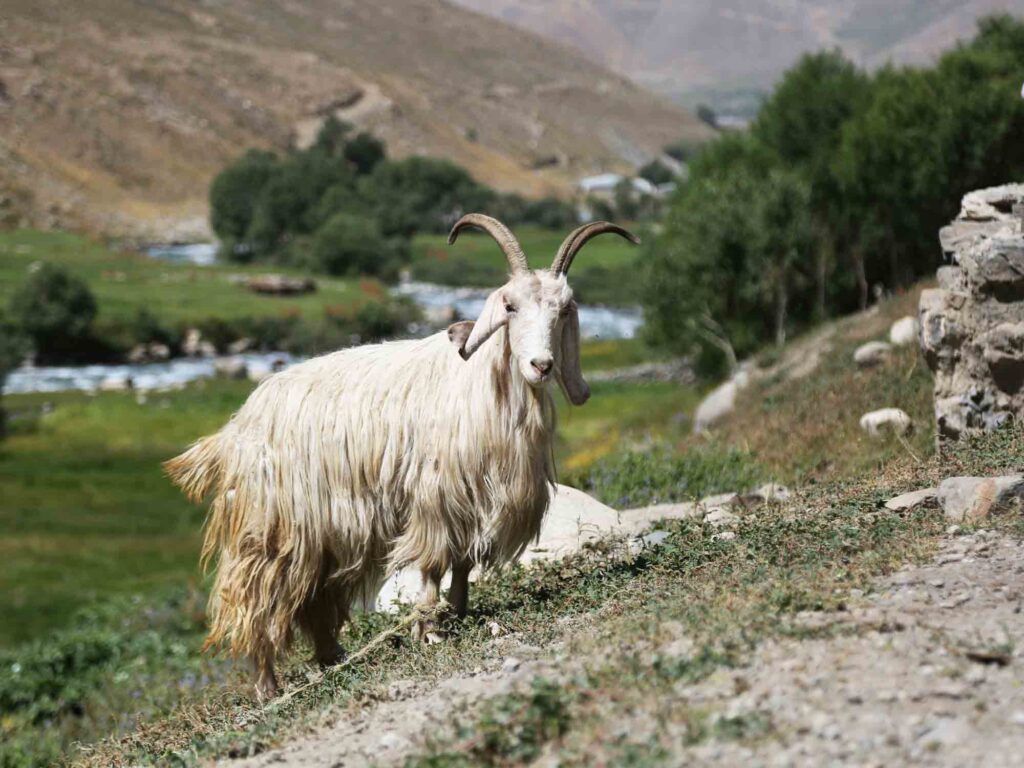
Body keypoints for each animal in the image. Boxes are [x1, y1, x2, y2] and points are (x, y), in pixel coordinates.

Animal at [165, 215, 639, 698]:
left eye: (564, 310)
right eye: (509, 306)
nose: (541, 366)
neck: (479, 385)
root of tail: (236, 427)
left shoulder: (475, 498)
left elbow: (463, 564)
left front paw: (458, 614)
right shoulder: (434, 496)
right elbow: (432, 563)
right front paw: (428, 629)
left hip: (321, 534)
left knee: (315, 597)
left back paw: (331, 658)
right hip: (269, 530)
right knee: (254, 600)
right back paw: (268, 686)